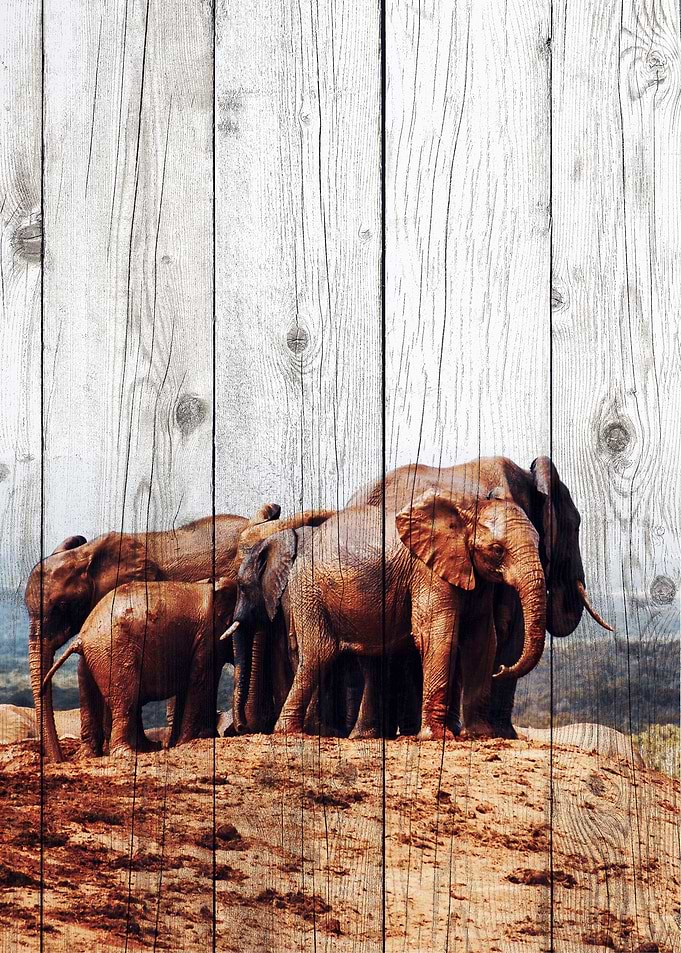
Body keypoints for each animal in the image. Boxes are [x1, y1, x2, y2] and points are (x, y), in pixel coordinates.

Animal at [41, 578, 237, 757]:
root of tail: (81, 637)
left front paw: (179, 742)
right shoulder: (208, 637)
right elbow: (200, 681)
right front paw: (185, 742)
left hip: (95, 656)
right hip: (114, 651)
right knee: (127, 697)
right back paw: (127, 753)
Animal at [238, 488, 547, 740]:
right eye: (497, 550)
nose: (502, 669)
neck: (467, 506)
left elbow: (482, 640)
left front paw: (482, 735)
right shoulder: (426, 571)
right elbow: (437, 634)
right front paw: (436, 737)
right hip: (308, 591)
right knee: (318, 653)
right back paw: (289, 732)